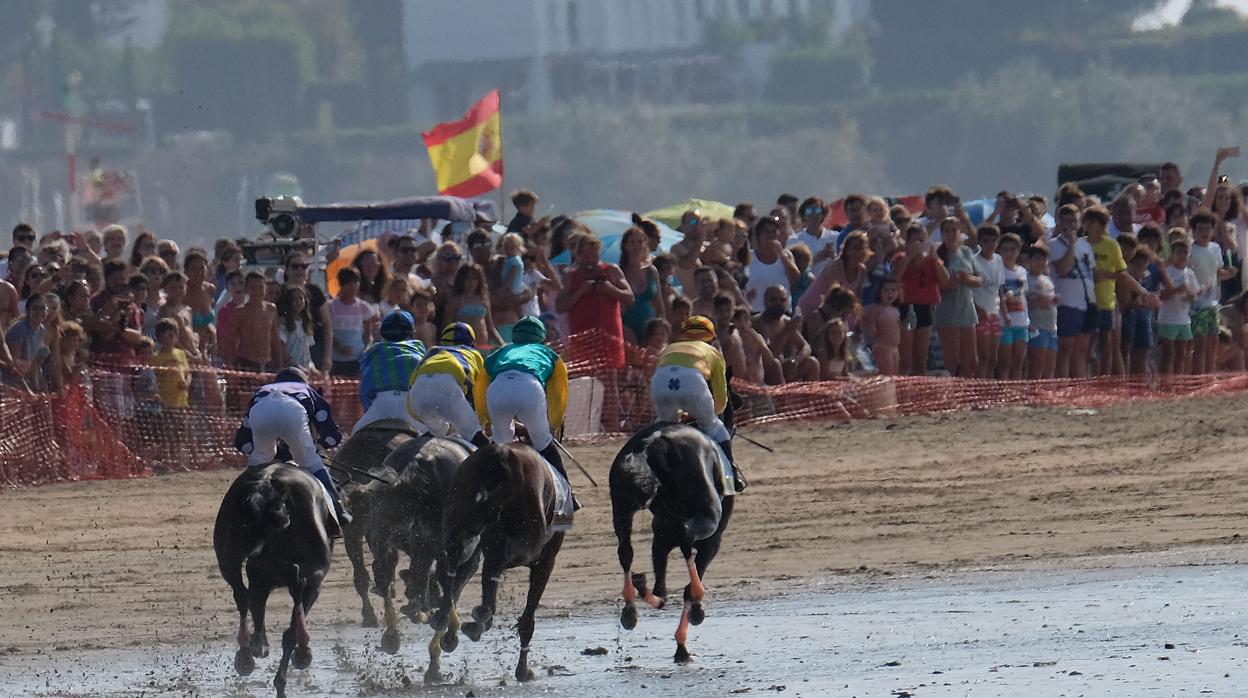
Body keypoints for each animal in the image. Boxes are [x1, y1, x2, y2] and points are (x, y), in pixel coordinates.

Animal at [213, 464, 336, 698]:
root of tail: (266, 484)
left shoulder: (259, 577)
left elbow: (255, 604)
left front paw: (257, 645)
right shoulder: (313, 582)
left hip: (228, 557)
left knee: (241, 594)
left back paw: (249, 650)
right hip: (313, 570)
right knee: (295, 594)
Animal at [429, 444, 566, 684]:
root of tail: (499, 453)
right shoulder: (544, 560)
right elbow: (527, 619)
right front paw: (523, 670)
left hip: (459, 520)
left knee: (453, 566)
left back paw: (446, 618)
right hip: (520, 541)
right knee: (493, 566)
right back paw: (478, 620)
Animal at [609, 419, 733, 664]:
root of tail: (652, 443)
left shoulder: (661, 539)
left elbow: (661, 586)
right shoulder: (712, 542)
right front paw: (691, 625)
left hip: (622, 507)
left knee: (625, 550)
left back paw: (631, 605)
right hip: (709, 516)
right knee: (687, 538)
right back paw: (695, 595)